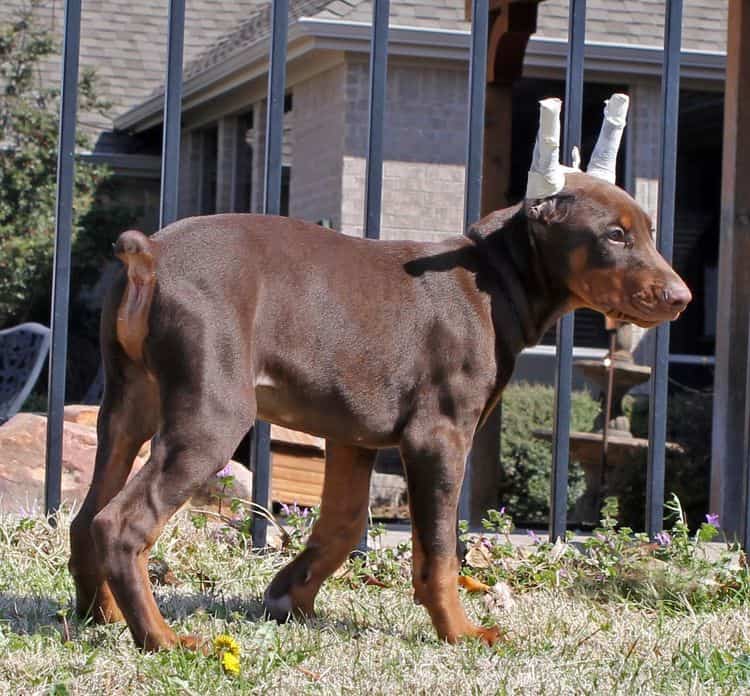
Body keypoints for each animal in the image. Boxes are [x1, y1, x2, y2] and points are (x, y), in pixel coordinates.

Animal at [70, 170, 692, 652]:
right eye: (614, 235)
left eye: (648, 232)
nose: (681, 298)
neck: (493, 282)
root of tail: (150, 256)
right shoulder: (438, 438)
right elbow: (440, 553)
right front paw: (462, 634)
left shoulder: (354, 436)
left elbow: (344, 525)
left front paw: (289, 598)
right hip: (212, 415)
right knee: (121, 523)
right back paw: (160, 639)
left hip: (126, 410)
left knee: (87, 516)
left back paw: (98, 615)